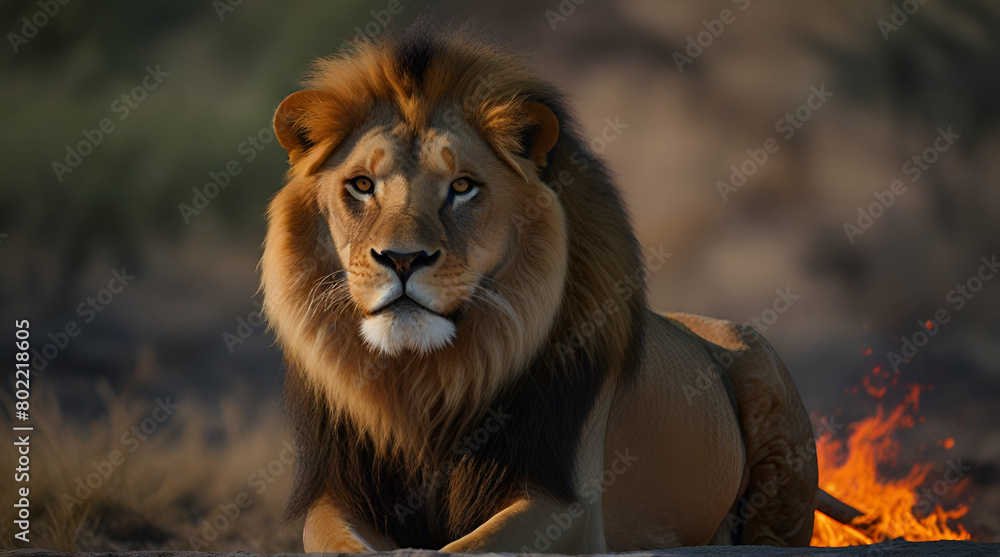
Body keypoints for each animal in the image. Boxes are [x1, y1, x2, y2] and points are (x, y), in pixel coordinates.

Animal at [261, 22, 838, 553]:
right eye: (361, 185)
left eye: (463, 187)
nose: (403, 259)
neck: (424, 383)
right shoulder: (336, 495)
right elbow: (341, 541)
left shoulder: (568, 505)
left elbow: (473, 546)